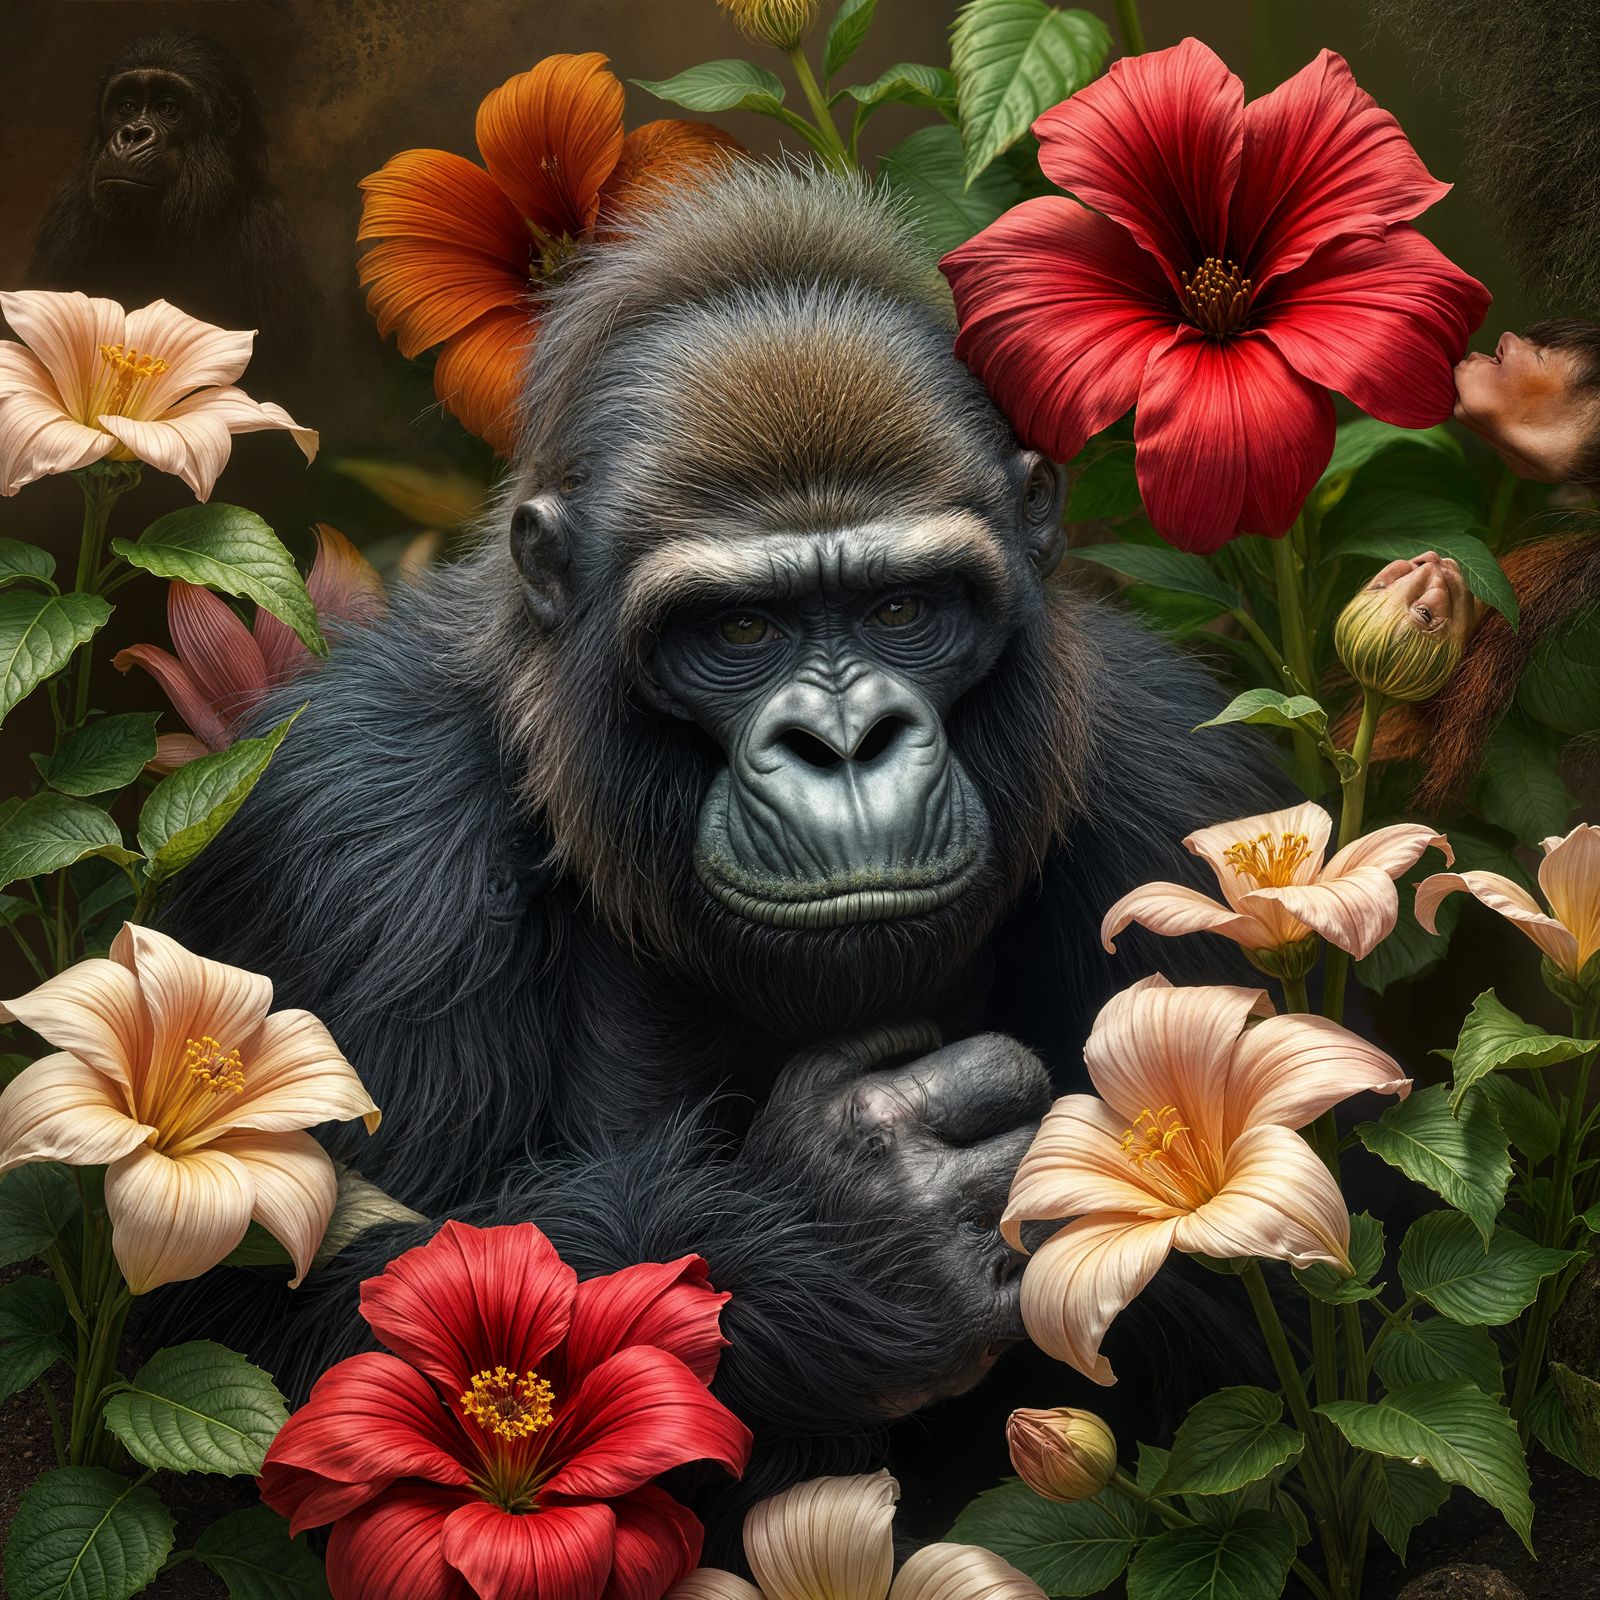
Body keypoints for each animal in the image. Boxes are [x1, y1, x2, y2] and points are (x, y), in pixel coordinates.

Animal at [156, 165, 1278, 1549]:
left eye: (902, 608)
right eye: (737, 629)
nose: (842, 741)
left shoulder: (1181, 802)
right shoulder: (351, 839)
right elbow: (310, 1320)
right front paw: (842, 1237)